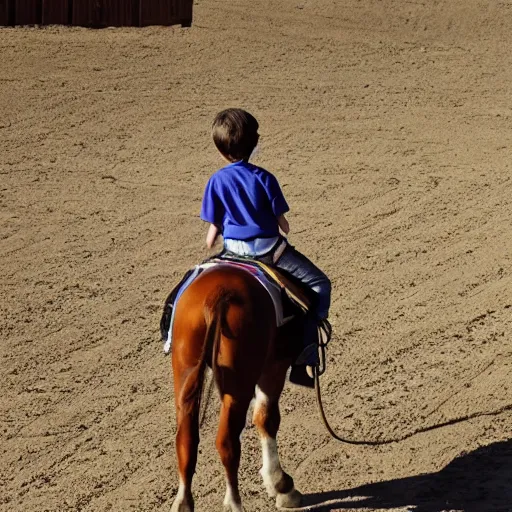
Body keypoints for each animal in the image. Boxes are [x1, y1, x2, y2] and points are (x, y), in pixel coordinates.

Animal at [170, 264, 304, 512]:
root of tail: (217, 296)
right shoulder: (274, 366)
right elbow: (266, 418)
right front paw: (281, 486)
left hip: (185, 377)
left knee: (186, 439)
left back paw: (183, 502)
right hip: (239, 386)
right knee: (227, 441)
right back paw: (234, 502)